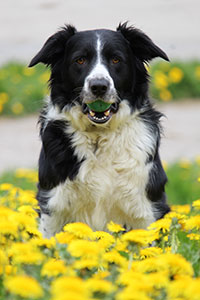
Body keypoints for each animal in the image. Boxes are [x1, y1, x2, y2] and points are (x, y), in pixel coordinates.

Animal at [29, 22, 170, 238]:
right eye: (80, 60)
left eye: (116, 59)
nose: (99, 86)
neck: (99, 136)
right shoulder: (53, 205)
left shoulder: (146, 208)